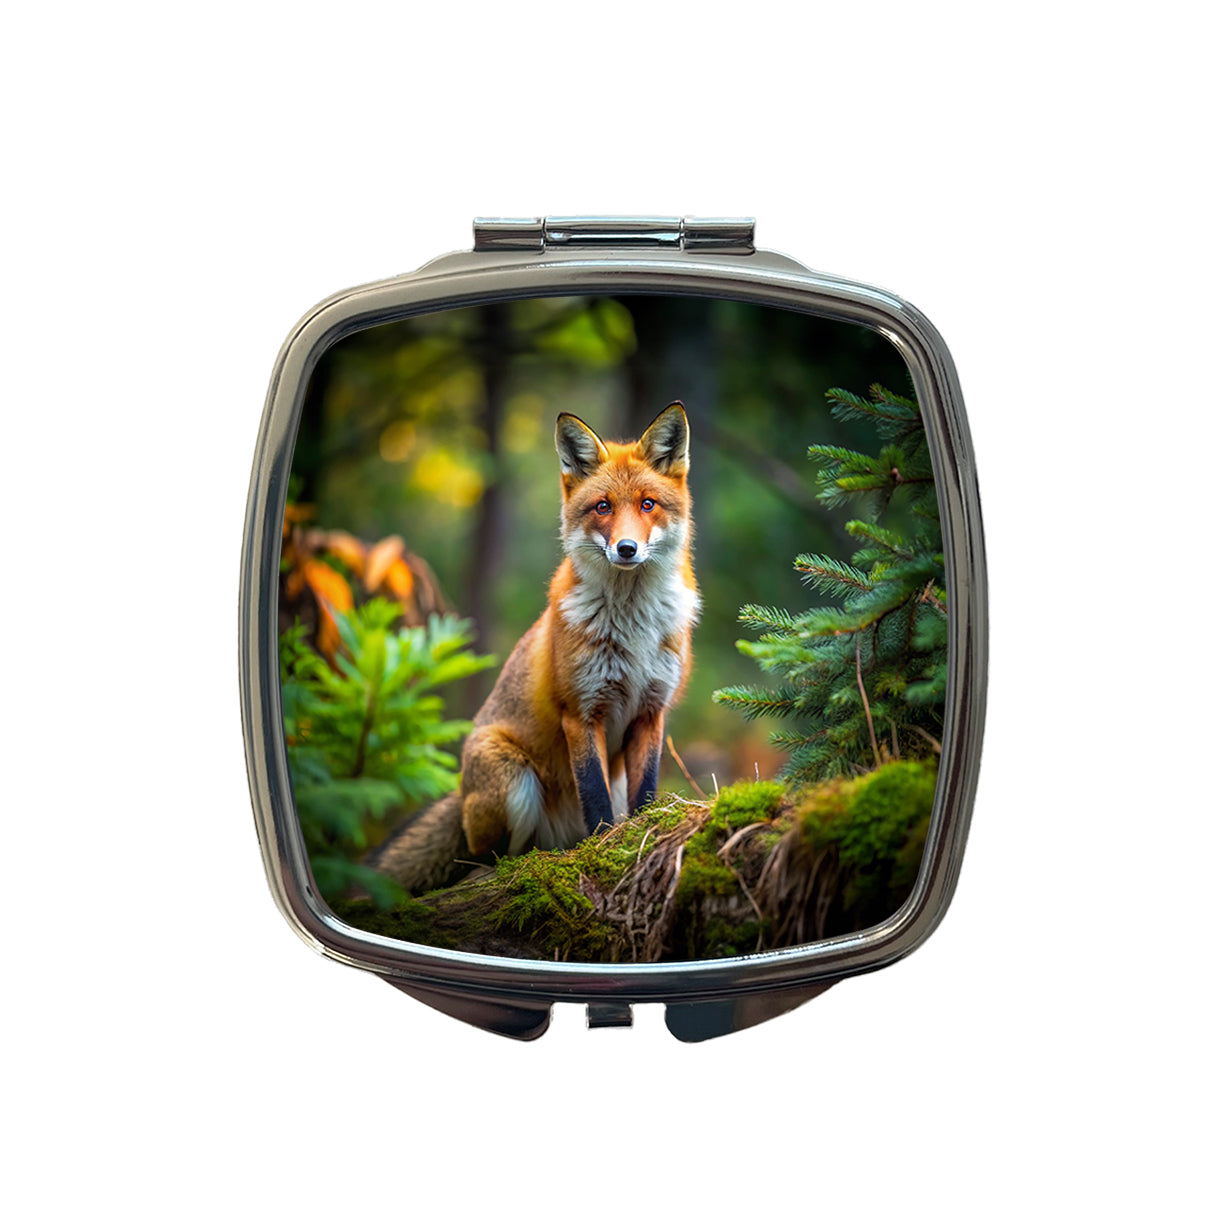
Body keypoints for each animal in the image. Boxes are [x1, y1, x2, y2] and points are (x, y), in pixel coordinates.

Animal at [371, 402, 700, 894]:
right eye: (603, 507)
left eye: (647, 504)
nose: (626, 548)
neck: (633, 630)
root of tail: (461, 793)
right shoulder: (581, 711)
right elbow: (595, 798)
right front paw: (604, 849)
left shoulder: (651, 711)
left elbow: (644, 794)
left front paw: (640, 836)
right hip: (513, 779)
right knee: (485, 859)